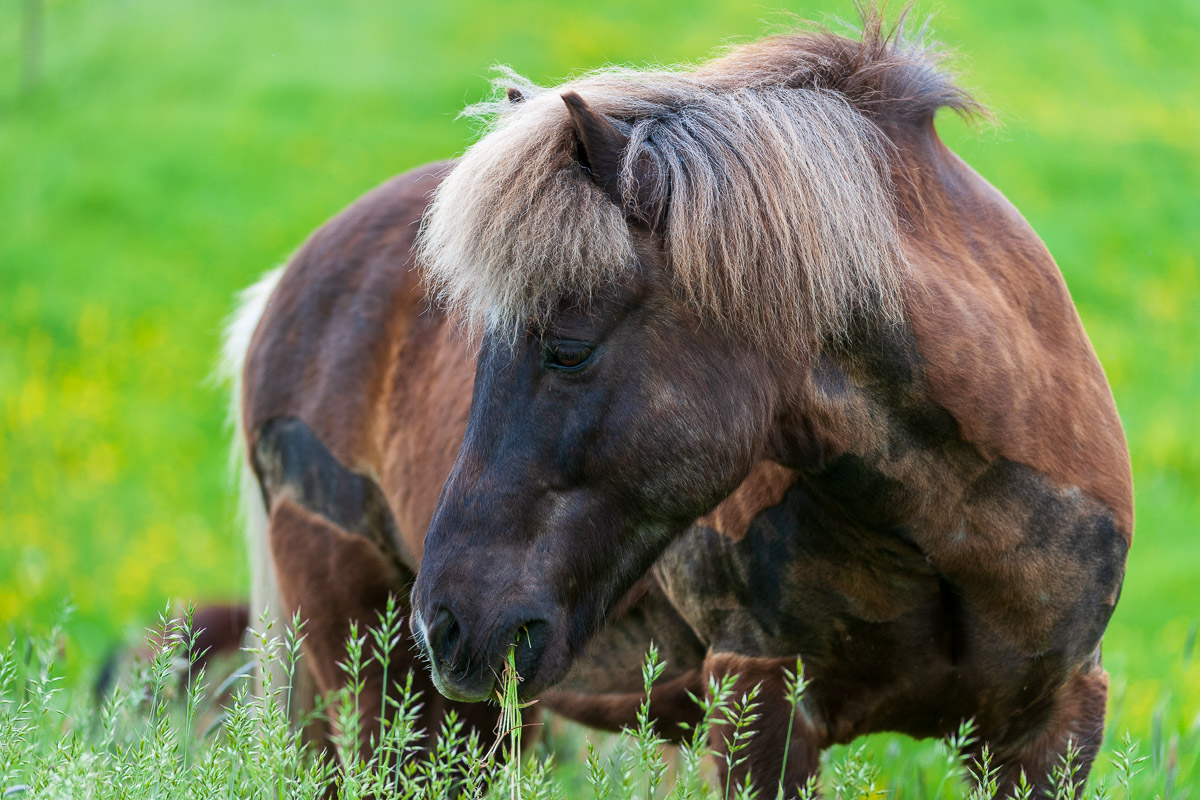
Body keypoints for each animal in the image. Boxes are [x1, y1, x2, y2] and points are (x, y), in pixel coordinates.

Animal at [225, 13, 1132, 797]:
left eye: (567, 350)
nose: (445, 623)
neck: (948, 524)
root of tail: (285, 289)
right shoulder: (761, 699)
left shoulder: (1051, 725)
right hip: (380, 687)